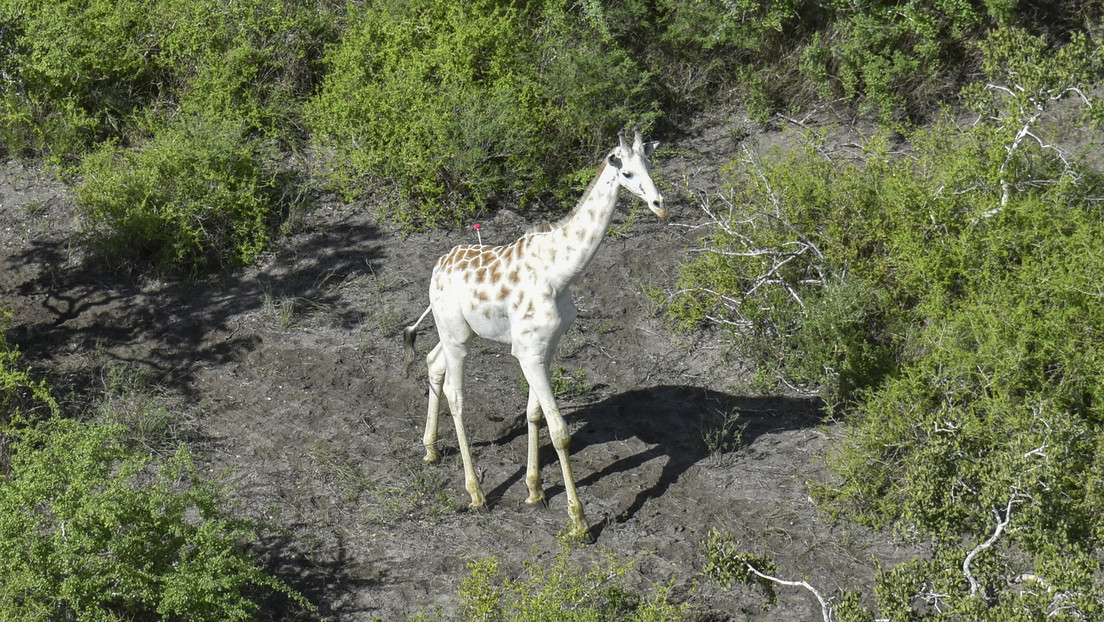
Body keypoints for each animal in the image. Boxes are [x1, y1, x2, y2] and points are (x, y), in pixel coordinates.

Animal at [402, 128, 665, 539]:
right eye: (626, 172)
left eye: (651, 164)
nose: (659, 205)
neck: (561, 272)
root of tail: (436, 269)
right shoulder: (528, 350)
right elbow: (560, 431)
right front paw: (579, 521)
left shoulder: (546, 347)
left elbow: (534, 414)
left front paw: (535, 490)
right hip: (456, 335)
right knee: (456, 395)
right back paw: (476, 493)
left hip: (458, 331)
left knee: (432, 362)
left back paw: (430, 449)